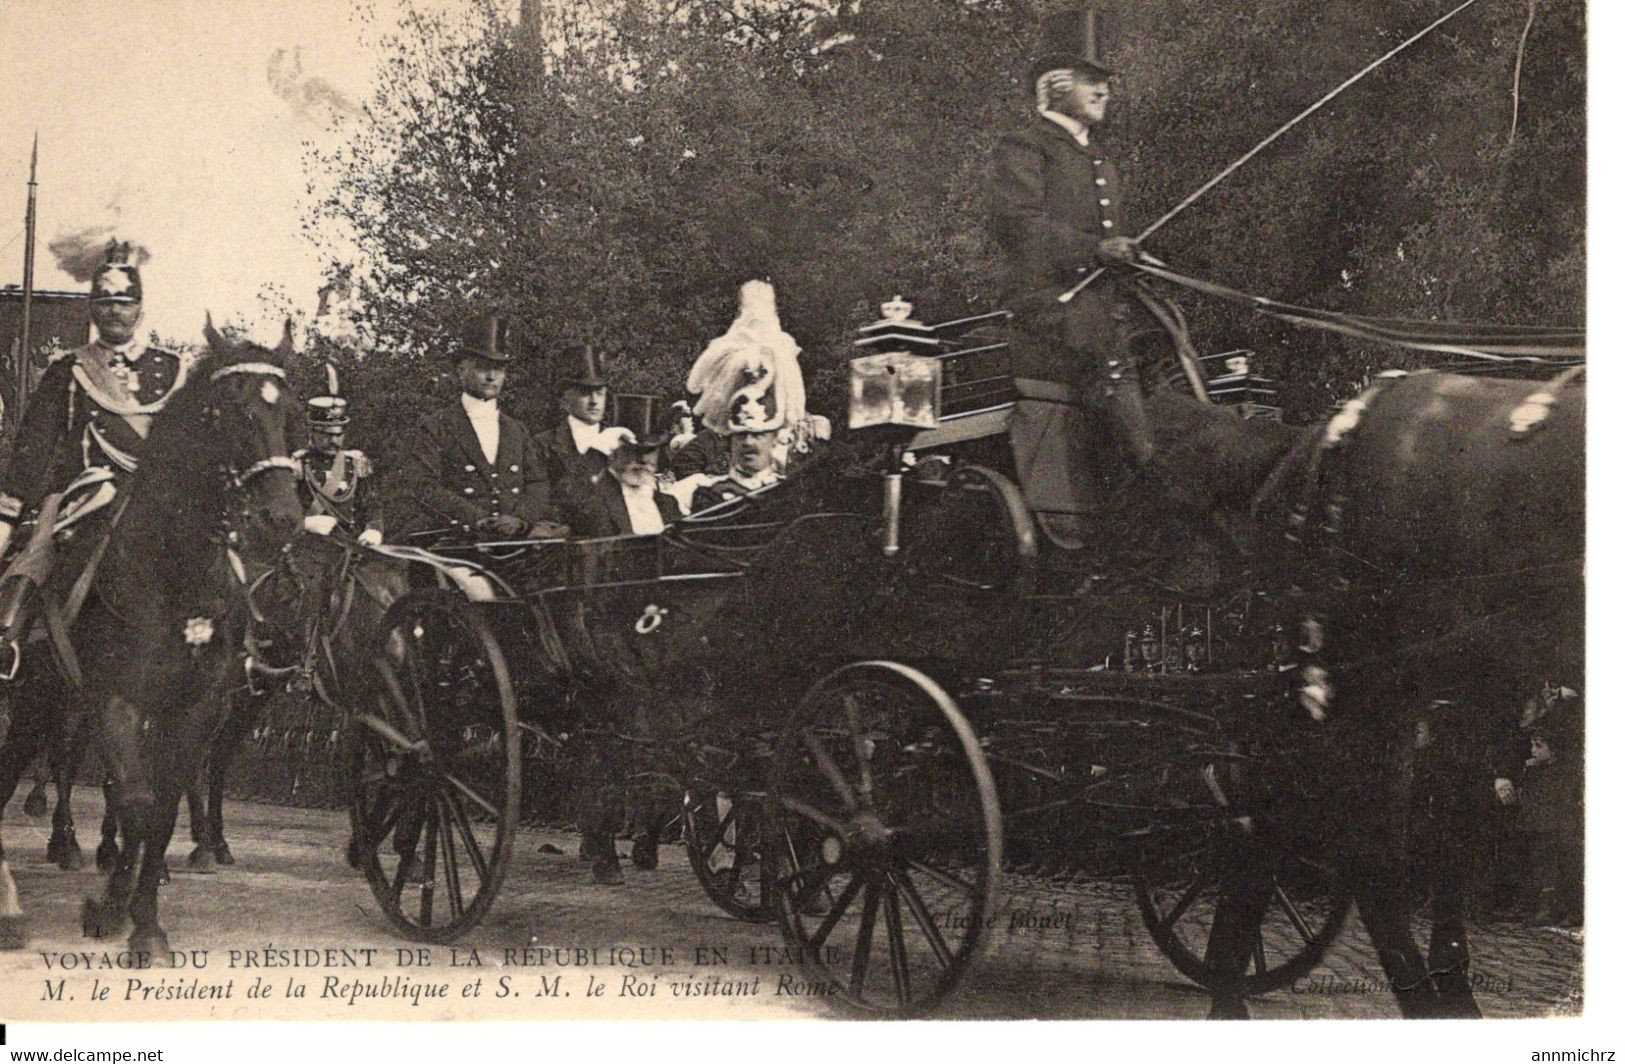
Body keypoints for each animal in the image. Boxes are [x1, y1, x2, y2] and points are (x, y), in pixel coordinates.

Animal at [0, 320, 305, 955]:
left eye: (290, 411)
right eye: (228, 411)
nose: (281, 517)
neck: (175, 571)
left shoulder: (196, 709)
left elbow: (159, 806)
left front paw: (137, 915)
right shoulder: (116, 699)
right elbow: (136, 798)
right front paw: (117, 910)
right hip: (37, 698)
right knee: (19, 768)